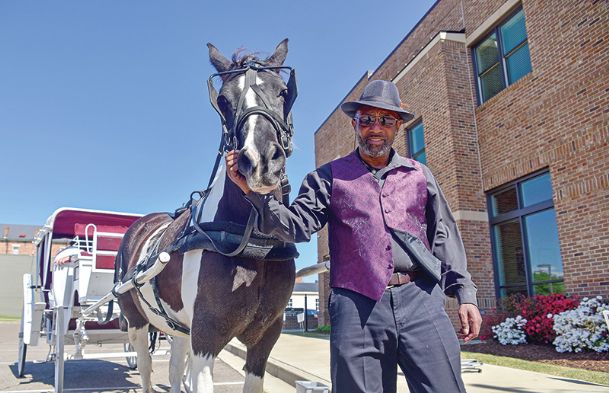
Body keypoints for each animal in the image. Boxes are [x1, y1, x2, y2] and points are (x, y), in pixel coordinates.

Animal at [116, 39, 296, 392]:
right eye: (223, 100)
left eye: (283, 91)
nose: (259, 160)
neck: (253, 240)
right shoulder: (206, 337)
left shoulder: (266, 336)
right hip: (136, 321)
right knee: (145, 368)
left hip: (178, 329)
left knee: (173, 370)